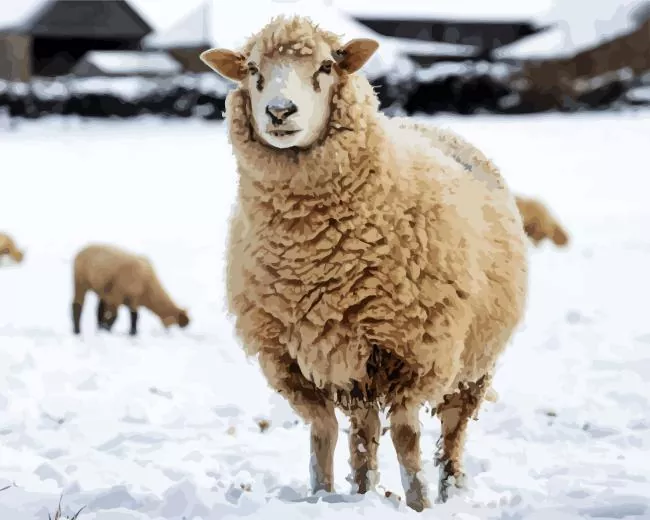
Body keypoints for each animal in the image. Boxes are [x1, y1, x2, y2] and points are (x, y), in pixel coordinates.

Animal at [201, 15, 528, 512]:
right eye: (252, 69)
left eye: (325, 67)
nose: (279, 111)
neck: (313, 258)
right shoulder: (289, 359)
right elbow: (322, 433)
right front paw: (321, 496)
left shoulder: (417, 352)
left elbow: (408, 437)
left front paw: (418, 503)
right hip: (358, 368)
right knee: (364, 429)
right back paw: (362, 490)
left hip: (472, 361)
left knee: (452, 431)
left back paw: (450, 490)